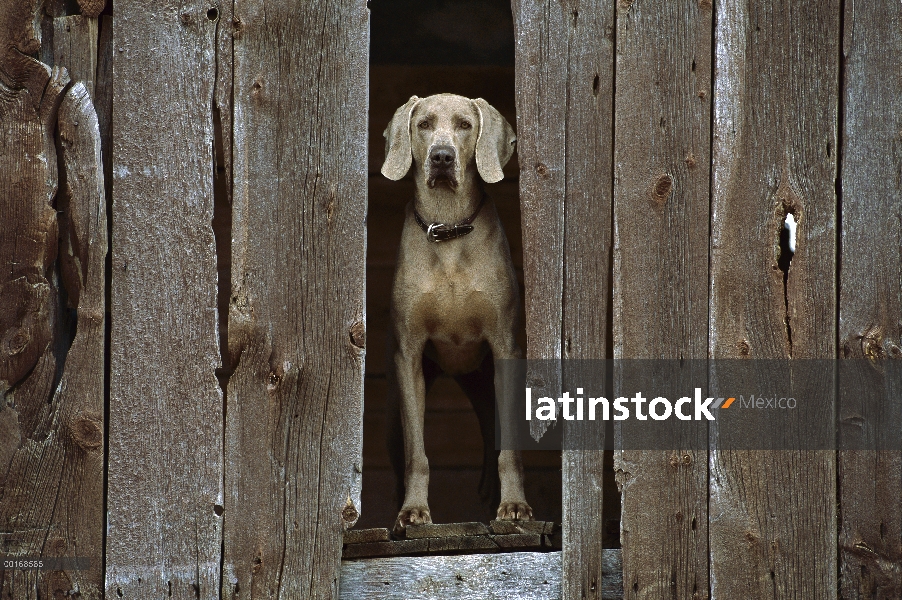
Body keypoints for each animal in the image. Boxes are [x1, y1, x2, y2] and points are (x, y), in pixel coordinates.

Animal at [380, 94, 532, 536]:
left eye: (465, 124)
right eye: (424, 124)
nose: (442, 157)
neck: (447, 228)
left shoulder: (504, 349)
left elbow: (509, 448)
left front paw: (514, 506)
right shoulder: (409, 356)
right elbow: (417, 452)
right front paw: (413, 512)